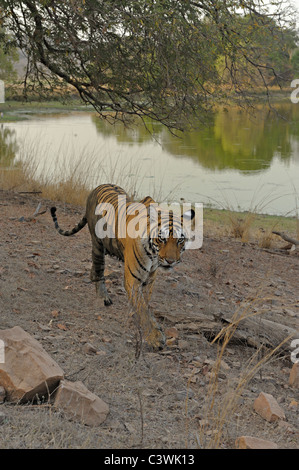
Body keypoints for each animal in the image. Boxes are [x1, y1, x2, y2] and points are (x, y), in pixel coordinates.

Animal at [50, 184, 196, 348]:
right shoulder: (133, 279)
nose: (171, 261)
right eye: (162, 238)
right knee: (99, 270)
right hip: (97, 244)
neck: (153, 255)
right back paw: (103, 297)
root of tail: (96, 187)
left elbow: (145, 303)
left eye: (180, 240)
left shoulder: (150, 279)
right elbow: (142, 309)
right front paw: (155, 337)